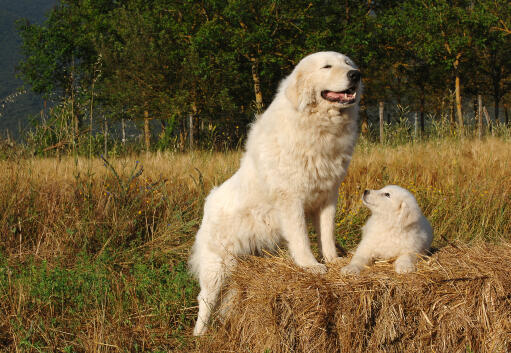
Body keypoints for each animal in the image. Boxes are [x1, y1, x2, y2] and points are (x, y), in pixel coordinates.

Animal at [190, 51, 362, 334]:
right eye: (327, 66)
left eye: (348, 64)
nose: (356, 75)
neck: (316, 125)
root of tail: (209, 202)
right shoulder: (291, 200)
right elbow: (301, 238)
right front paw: (311, 266)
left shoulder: (328, 197)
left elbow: (326, 233)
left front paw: (334, 260)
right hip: (217, 266)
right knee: (205, 299)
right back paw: (200, 336)